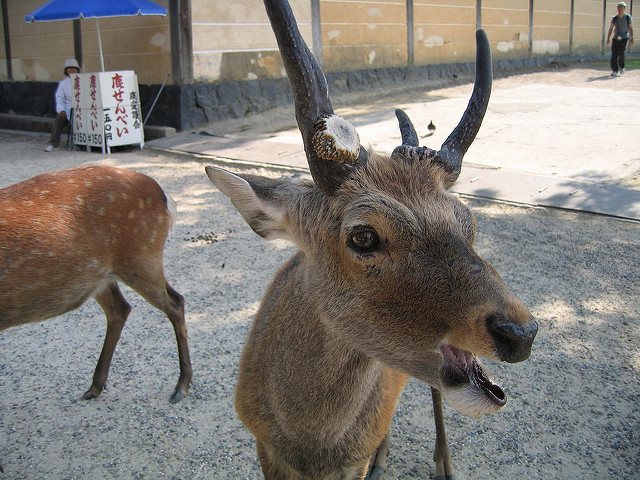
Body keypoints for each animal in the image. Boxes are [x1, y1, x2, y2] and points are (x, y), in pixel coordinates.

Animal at [0, 167, 192, 404]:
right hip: (100, 276)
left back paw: (181, 386)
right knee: (121, 309)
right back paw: (95, 386)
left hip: (142, 258)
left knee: (175, 302)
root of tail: (162, 194)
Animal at [205, 0, 536, 480]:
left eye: (468, 221)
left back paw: (443, 463)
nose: (521, 332)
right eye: (363, 236)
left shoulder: (351, 463)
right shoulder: (263, 444)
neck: (311, 448)